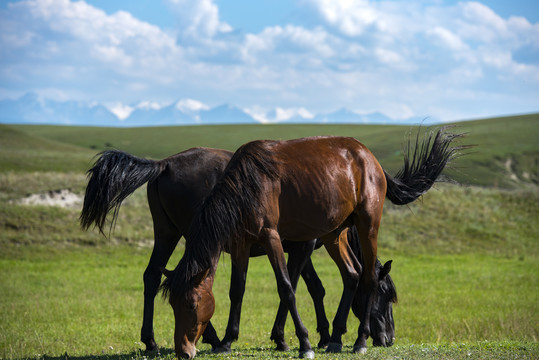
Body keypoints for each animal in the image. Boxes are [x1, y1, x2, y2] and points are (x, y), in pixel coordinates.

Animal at [79, 148, 396, 352]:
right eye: (386, 297)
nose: (388, 338)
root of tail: (164, 164)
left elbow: (306, 285)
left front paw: (316, 335)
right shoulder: (301, 245)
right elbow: (305, 286)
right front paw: (299, 337)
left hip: (167, 233)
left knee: (153, 276)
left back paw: (152, 341)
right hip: (189, 234)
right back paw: (209, 337)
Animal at [159, 128, 464, 358]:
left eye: (191, 305)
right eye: (173, 305)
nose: (183, 352)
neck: (249, 184)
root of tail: (369, 157)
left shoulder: (273, 238)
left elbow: (287, 288)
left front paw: (302, 343)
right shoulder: (241, 242)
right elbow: (238, 290)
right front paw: (226, 341)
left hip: (367, 226)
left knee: (367, 277)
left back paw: (359, 341)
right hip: (335, 234)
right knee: (352, 273)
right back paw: (337, 339)